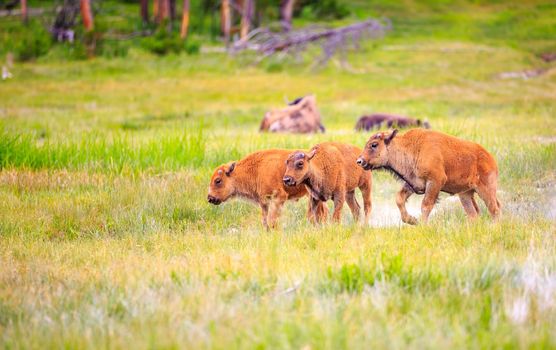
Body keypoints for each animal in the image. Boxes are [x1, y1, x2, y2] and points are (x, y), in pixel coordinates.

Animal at [358, 129, 502, 224]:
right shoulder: (414, 183)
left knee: (494, 209)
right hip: (465, 194)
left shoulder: (435, 181)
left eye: (374, 144)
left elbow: (426, 205)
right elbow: (399, 199)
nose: (359, 161)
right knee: (474, 214)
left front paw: (422, 224)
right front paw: (412, 220)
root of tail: (490, 158)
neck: (412, 147)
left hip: (485, 189)